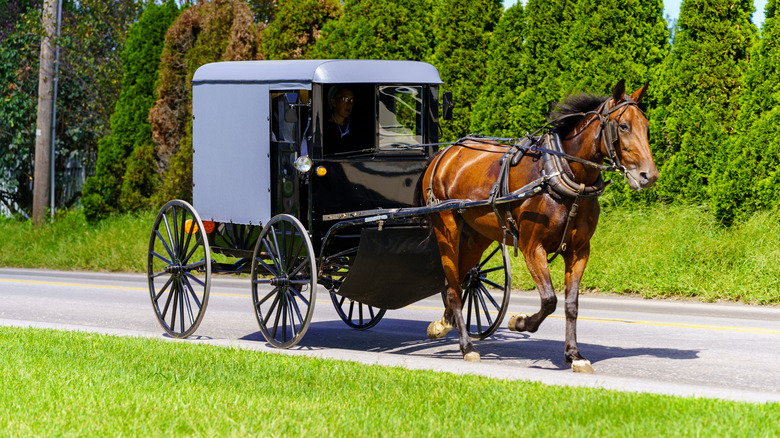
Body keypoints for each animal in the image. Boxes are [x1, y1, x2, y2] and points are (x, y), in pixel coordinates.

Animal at [420, 80, 660, 372]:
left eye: (646, 126)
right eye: (623, 126)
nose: (649, 175)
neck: (560, 174)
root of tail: (445, 153)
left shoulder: (579, 250)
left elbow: (571, 304)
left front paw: (574, 355)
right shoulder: (532, 247)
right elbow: (549, 300)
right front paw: (520, 321)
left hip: (478, 235)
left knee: (461, 278)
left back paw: (444, 324)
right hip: (447, 228)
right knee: (454, 287)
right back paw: (467, 347)